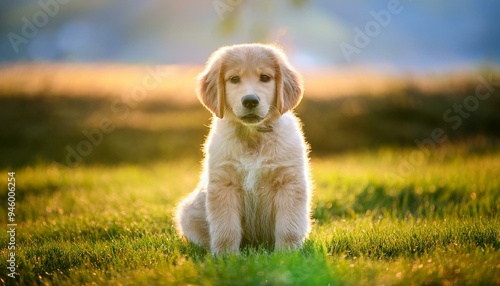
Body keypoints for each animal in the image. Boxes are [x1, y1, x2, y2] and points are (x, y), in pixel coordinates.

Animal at [174, 43, 310, 255]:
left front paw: (288, 255)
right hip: (188, 213)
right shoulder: (224, 184)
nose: (250, 101)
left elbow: (289, 226)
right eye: (234, 79)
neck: (252, 136)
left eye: (265, 78)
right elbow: (225, 227)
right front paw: (225, 256)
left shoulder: (289, 182)